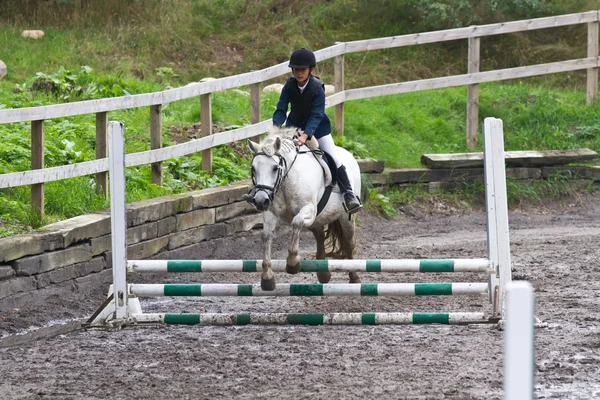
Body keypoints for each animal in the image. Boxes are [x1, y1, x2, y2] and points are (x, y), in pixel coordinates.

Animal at [245, 128, 360, 290]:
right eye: (253, 169)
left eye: (275, 168)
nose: (261, 201)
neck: (286, 180)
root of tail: (349, 154)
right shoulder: (271, 213)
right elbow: (266, 236)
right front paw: (267, 277)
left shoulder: (308, 210)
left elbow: (296, 222)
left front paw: (293, 263)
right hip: (317, 220)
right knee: (320, 237)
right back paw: (323, 274)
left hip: (345, 218)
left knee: (349, 242)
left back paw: (354, 277)